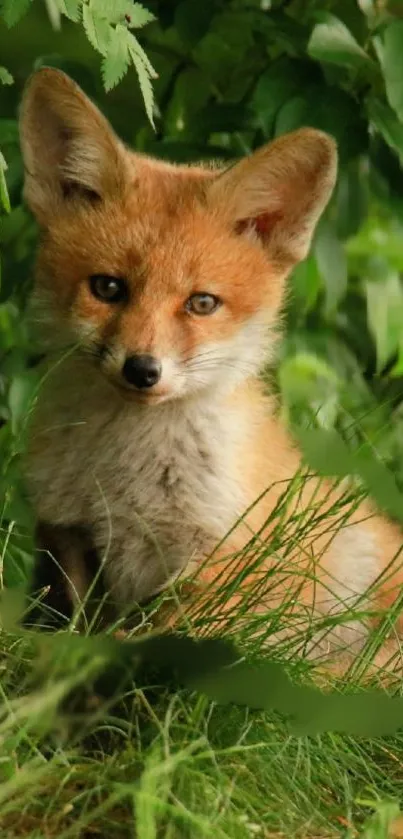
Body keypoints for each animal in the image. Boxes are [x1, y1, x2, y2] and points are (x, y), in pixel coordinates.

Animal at [19, 69, 403, 680]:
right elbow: (67, 629)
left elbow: (164, 642)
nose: (142, 369)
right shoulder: (67, 533)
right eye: (107, 288)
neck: (127, 477)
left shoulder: (221, 560)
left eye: (201, 303)